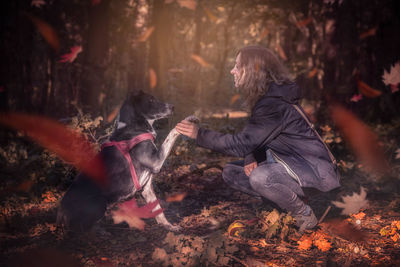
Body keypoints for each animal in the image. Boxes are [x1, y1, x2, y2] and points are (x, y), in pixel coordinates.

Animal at [57, 90, 183, 232]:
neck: (132, 127)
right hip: (99, 203)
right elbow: (171, 134)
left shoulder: (146, 188)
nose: (172, 107)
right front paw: (186, 122)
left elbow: (158, 210)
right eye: (151, 100)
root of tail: (60, 216)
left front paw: (169, 226)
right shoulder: (156, 161)